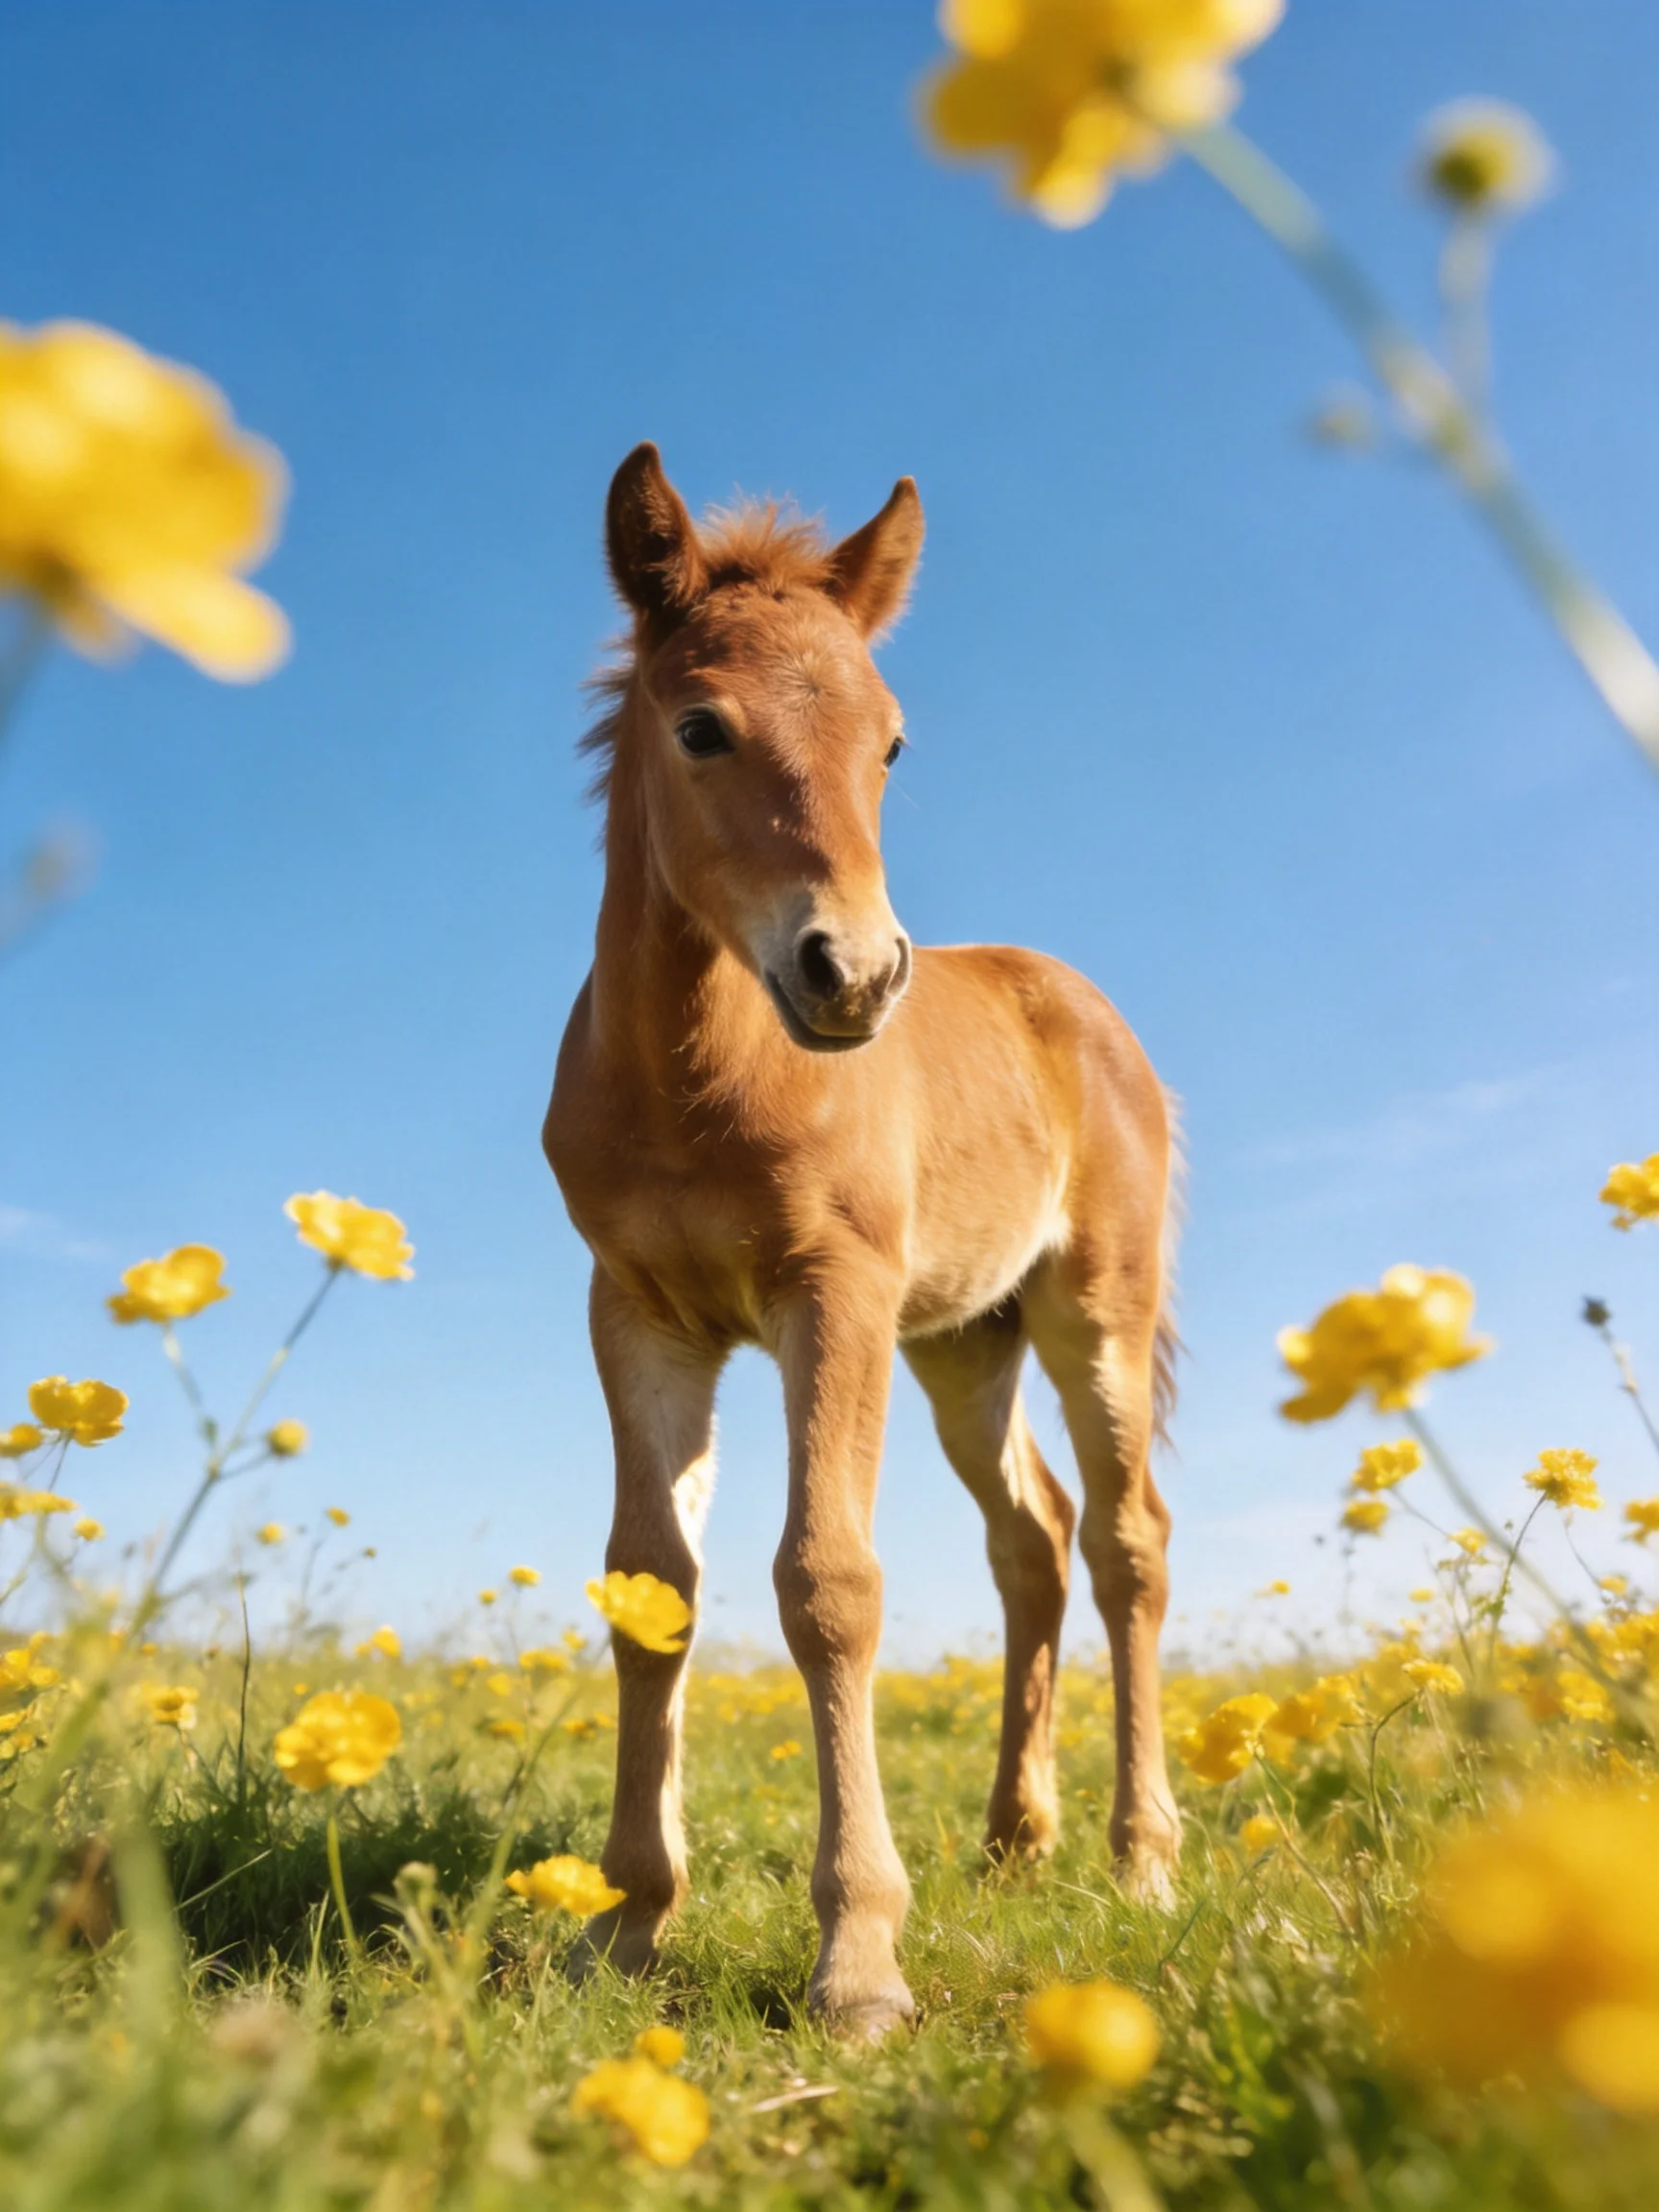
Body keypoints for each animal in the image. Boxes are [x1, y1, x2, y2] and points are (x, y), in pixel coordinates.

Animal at [543, 444, 1182, 2037]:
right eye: (700, 725)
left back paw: (1142, 1864)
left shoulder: (830, 1294)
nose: (855, 973)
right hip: (962, 1346)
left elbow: (830, 1585)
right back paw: (1017, 1844)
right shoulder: (638, 1313)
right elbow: (651, 1587)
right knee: (1035, 1541)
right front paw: (627, 1924)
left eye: (891, 746)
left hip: (1091, 1313)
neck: (697, 1081)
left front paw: (859, 1960)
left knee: (1127, 1540)